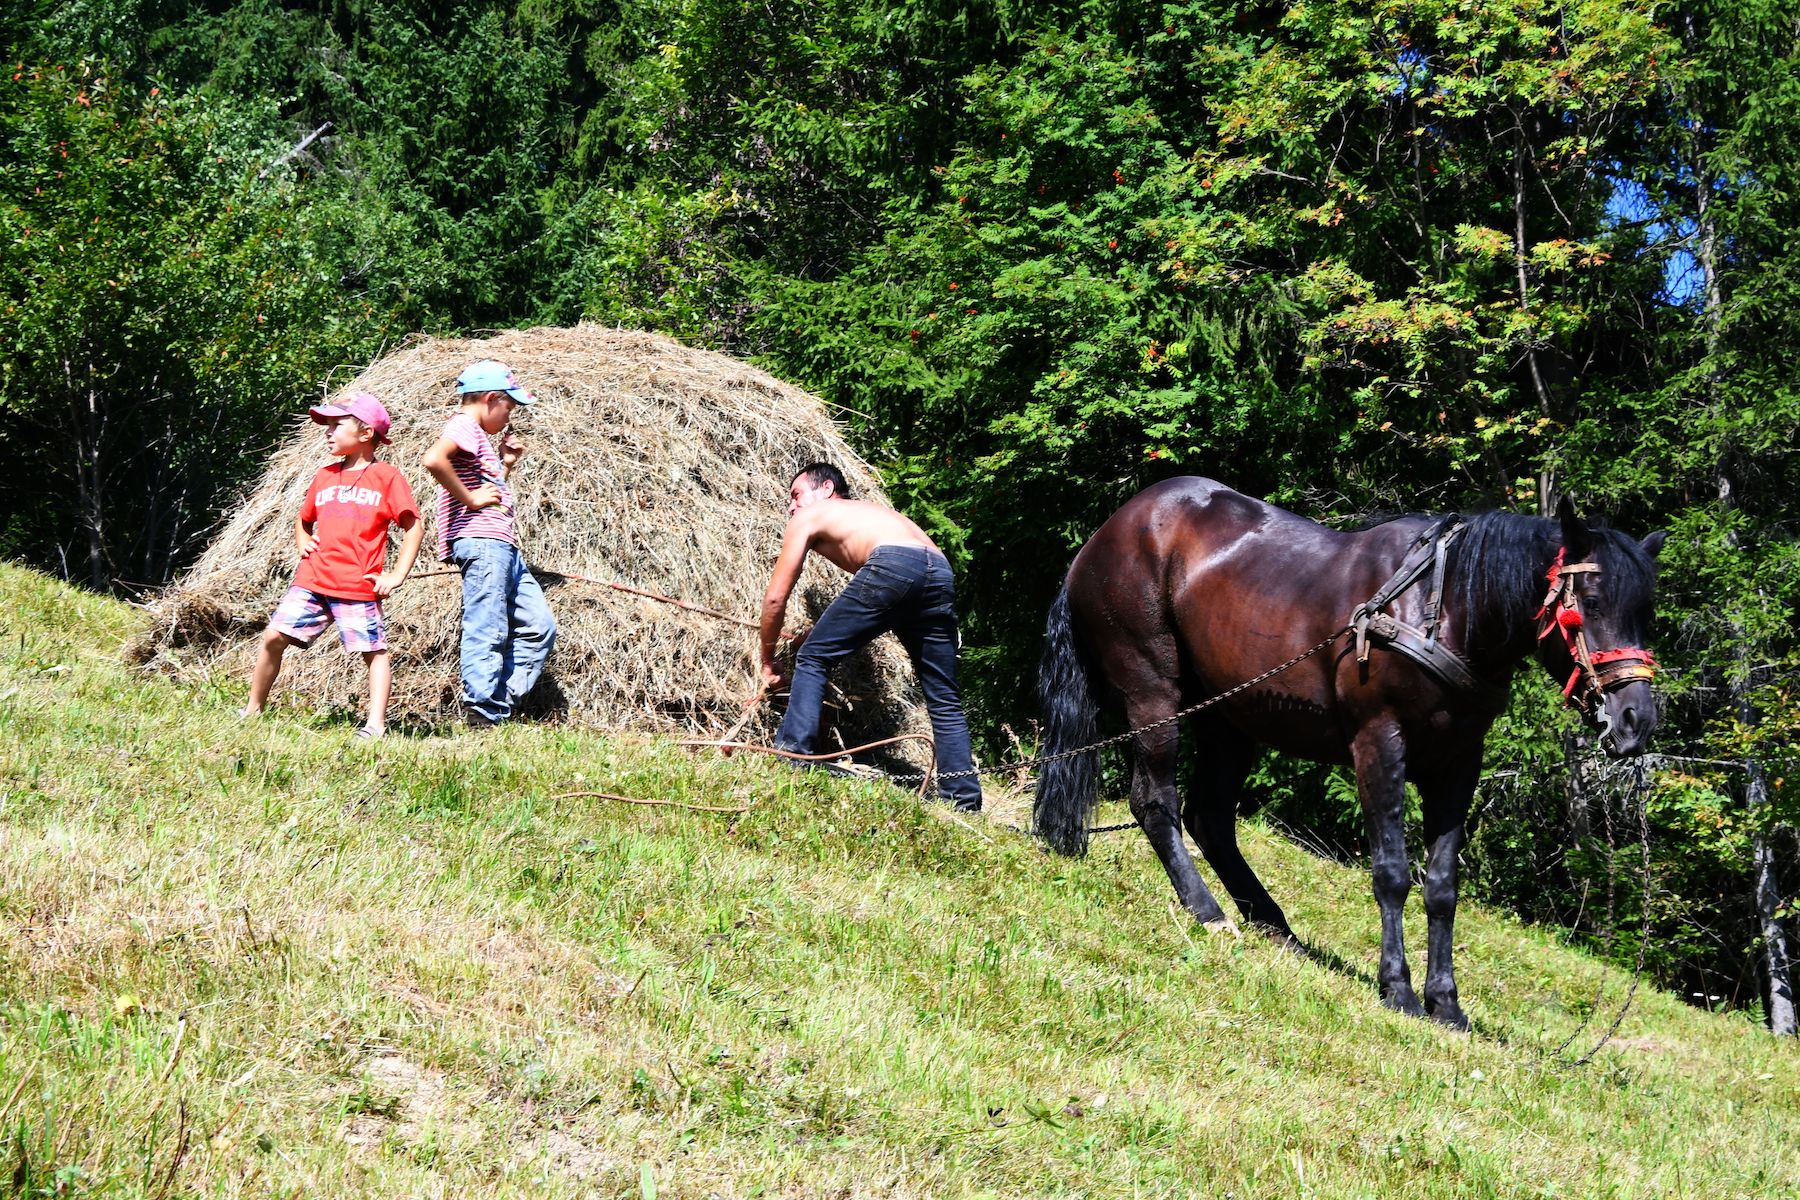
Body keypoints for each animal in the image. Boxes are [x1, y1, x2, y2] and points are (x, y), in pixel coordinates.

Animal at [1036, 478, 1663, 1036]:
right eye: (1590, 603)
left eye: (1646, 612)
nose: (1636, 719)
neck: (1444, 607)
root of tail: (1109, 530)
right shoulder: (1378, 742)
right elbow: (1391, 873)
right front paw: (1399, 990)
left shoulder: (1458, 765)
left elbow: (1442, 885)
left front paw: (1447, 1003)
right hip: (1153, 693)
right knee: (1156, 802)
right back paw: (1208, 911)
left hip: (1228, 717)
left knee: (1210, 817)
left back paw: (1273, 924)